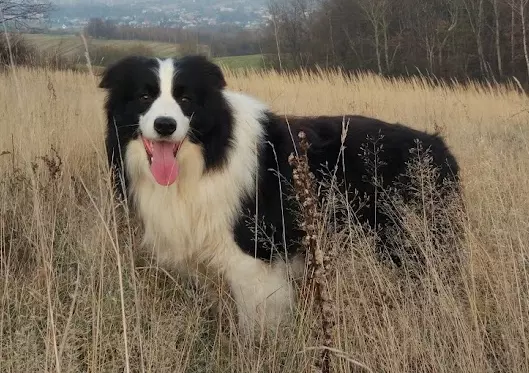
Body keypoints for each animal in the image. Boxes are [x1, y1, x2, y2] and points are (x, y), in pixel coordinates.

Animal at [99, 54, 458, 334]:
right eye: (144, 96)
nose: (165, 125)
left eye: (185, 99)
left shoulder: (253, 259)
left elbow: (256, 325)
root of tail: (439, 147)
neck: (209, 154)